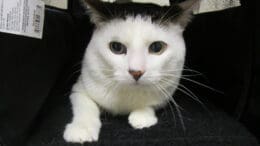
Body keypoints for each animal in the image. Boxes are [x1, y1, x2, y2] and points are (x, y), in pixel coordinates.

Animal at [63, 0, 199, 144]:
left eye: (157, 47)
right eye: (116, 47)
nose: (136, 72)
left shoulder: (167, 92)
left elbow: (153, 103)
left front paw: (142, 117)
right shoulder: (80, 86)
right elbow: (85, 104)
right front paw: (81, 129)